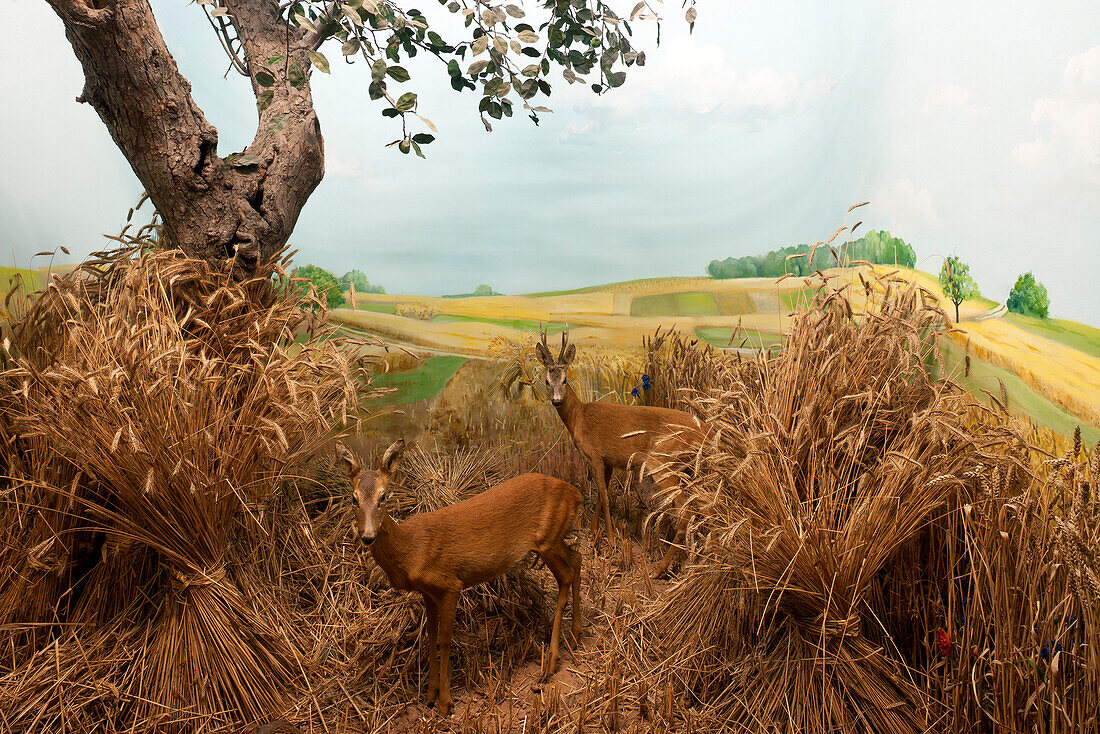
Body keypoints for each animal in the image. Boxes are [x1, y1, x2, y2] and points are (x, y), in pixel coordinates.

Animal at [338, 440, 585, 713]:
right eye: (353, 498)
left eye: (383, 496)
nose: (367, 536)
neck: (412, 549)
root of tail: (577, 495)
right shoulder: (427, 592)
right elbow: (430, 636)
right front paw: (430, 695)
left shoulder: (450, 584)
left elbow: (445, 640)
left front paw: (445, 702)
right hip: (554, 540)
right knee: (577, 559)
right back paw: (575, 636)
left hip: (548, 540)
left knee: (566, 575)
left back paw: (551, 663)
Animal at [536, 327, 708, 581]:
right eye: (547, 380)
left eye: (565, 379)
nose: (556, 401)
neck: (579, 417)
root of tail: (705, 430)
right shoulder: (607, 462)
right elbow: (601, 497)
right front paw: (593, 535)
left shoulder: (594, 455)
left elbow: (605, 497)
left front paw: (610, 541)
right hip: (685, 469)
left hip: (663, 464)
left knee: (686, 510)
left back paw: (660, 569)